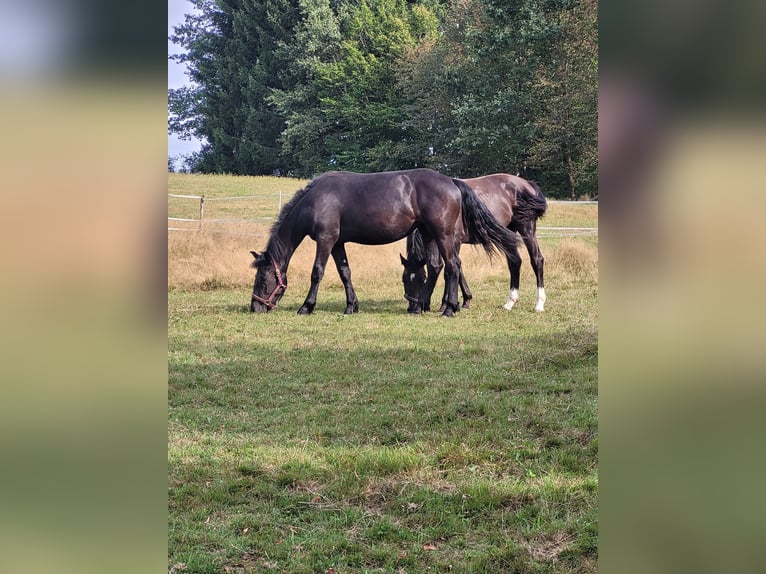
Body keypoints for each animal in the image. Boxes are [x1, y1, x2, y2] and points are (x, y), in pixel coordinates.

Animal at [249, 169, 520, 318]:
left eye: (262, 279)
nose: (255, 308)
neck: (317, 200)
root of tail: (452, 182)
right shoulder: (337, 244)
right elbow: (345, 273)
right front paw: (351, 306)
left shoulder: (326, 241)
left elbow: (317, 273)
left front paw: (307, 307)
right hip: (429, 234)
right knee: (436, 267)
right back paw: (421, 306)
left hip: (443, 235)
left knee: (452, 266)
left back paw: (449, 309)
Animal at [400, 174, 548, 316]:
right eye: (404, 279)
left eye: (422, 278)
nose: (411, 307)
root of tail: (527, 183)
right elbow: (455, 269)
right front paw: (463, 301)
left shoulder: (454, 241)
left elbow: (450, 270)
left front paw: (447, 304)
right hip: (509, 232)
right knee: (515, 262)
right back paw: (510, 302)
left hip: (526, 228)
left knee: (537, 260)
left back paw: (539, 304)